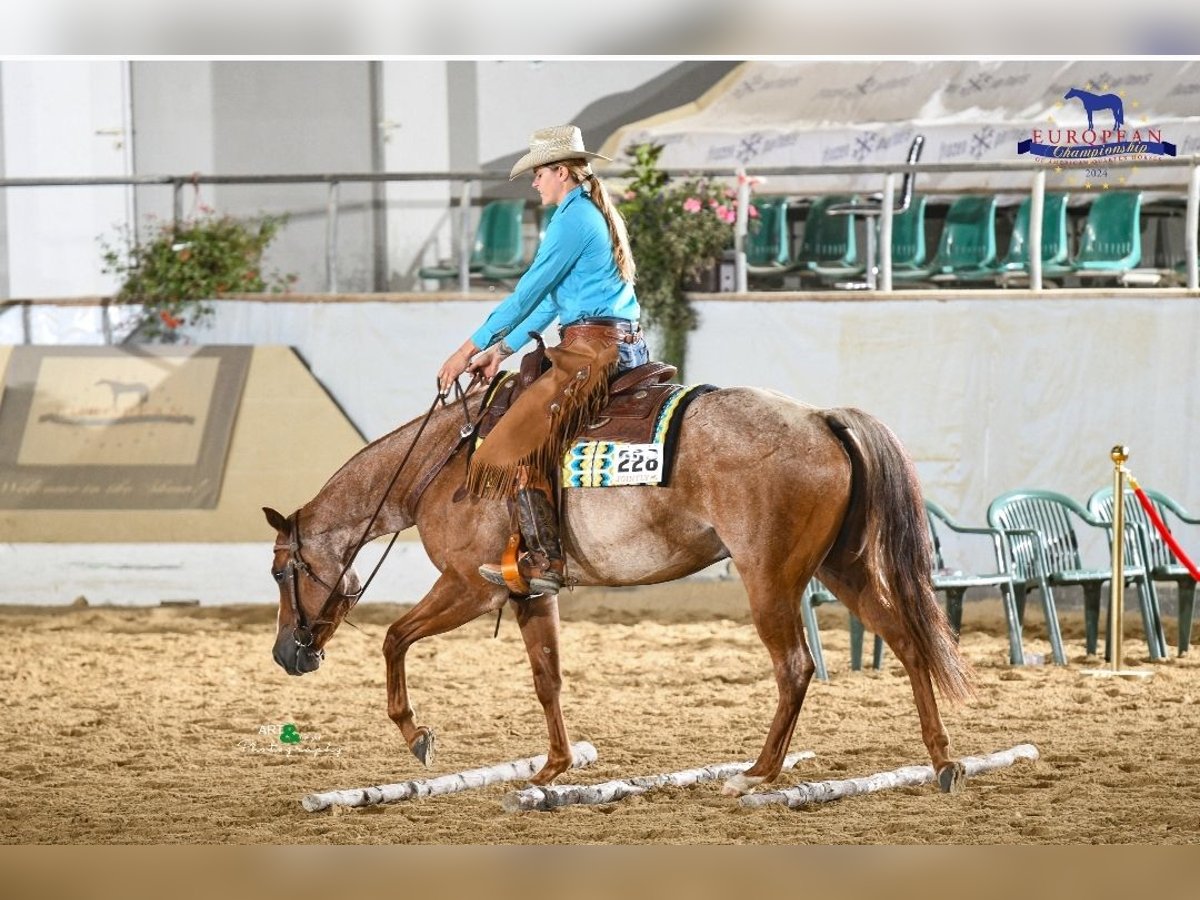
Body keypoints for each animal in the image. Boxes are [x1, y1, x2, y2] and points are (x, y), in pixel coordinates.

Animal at [265, 384, 974, 801]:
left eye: (278, 572)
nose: (285, 654)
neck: (442, 467)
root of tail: (821, 418)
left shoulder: (468, 587)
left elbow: (394, 638)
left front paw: (415, 734)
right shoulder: (530, 596)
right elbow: (547, 678)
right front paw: (552, 768)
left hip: (771, 579)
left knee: (795, 666)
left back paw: (759, 773)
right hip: (842, 568)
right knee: (910, 642)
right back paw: (941, 760)